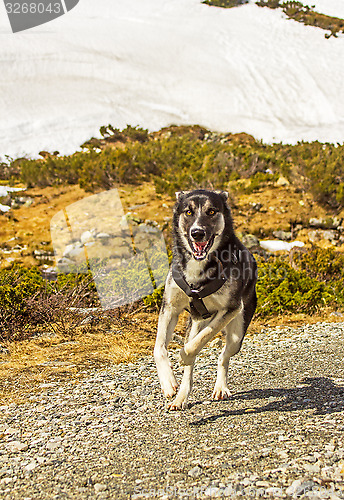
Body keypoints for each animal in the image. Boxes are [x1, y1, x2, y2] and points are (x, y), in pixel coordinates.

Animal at [155, 189, 256, 408]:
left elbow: (201, 340)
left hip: (237, 334)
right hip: (194, 323)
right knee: (190, 365)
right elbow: (159, 347)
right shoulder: (170, 308)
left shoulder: (230, 309)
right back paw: (181, 397)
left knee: (223, 356)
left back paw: (220, 387)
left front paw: (183, 356)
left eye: (211, 211)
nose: (197, 233)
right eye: (188, 212)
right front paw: (168, 382)